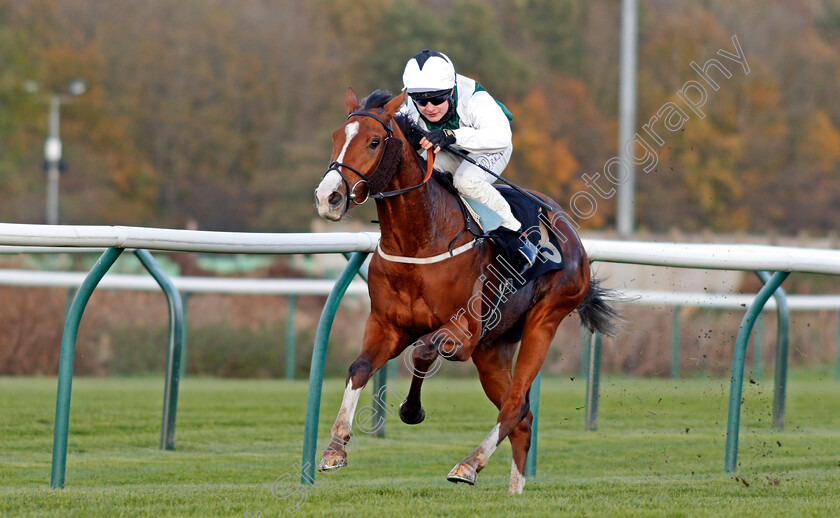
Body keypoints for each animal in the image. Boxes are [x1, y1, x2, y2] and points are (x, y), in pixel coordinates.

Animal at [316, 88, 616, 496]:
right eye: (335, 137)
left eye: (374, 141)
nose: (327, 197)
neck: (420, 240)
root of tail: (571, 232)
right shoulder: (387, 325)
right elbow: (360, 367)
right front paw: (335, 447)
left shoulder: (465, 334)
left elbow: (424, 350)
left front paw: (411, 410)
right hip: (493, 348)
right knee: (522, 416)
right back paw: (514, 491)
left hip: (545, 318)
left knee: (515, 404)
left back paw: (469, 464)